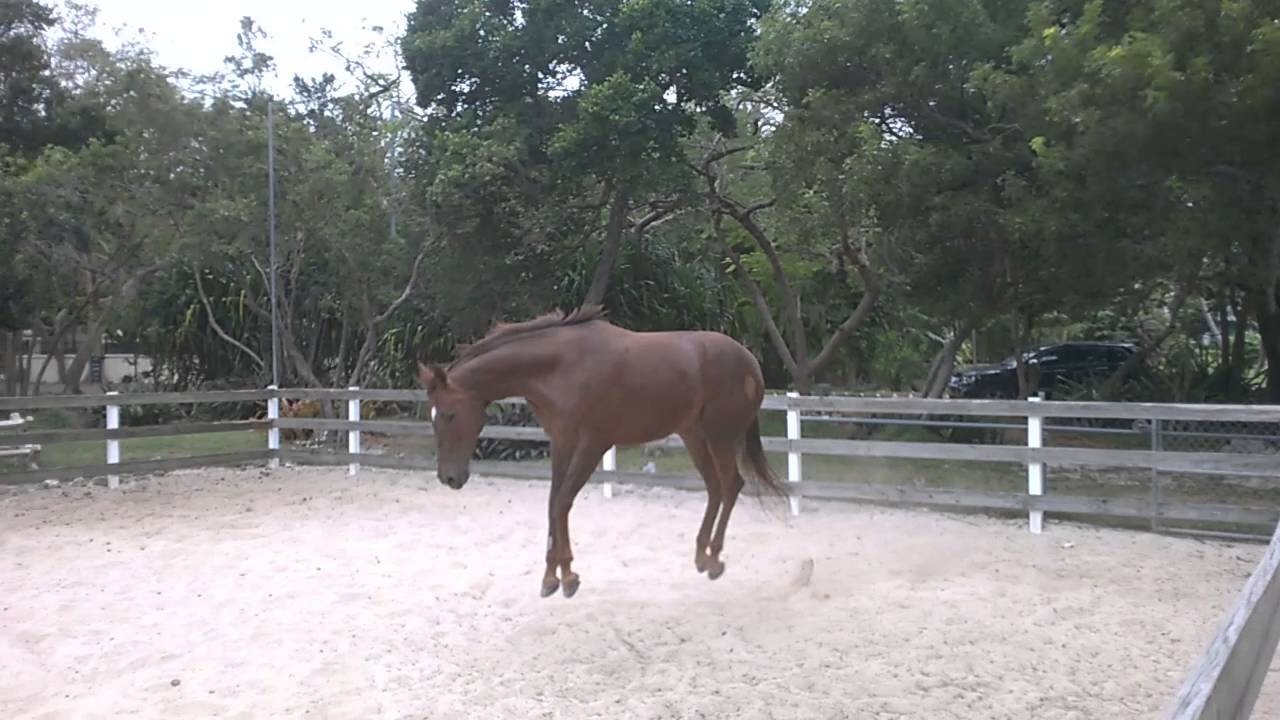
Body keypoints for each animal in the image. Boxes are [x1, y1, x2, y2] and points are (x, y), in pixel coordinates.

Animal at [417, 304, 786, 598]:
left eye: (449, 414)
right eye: (432, 415)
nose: (449, 478)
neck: (559, 367)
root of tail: (749, 360)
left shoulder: (592, 445)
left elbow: (563, 503)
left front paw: (567, 576)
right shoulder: (562, 442)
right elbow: (553, 503)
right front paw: (551, 577)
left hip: (720, 436)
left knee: (731, 484)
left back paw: (713, 558)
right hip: (693, 435)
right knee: (714, 487)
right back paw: (701, 555)